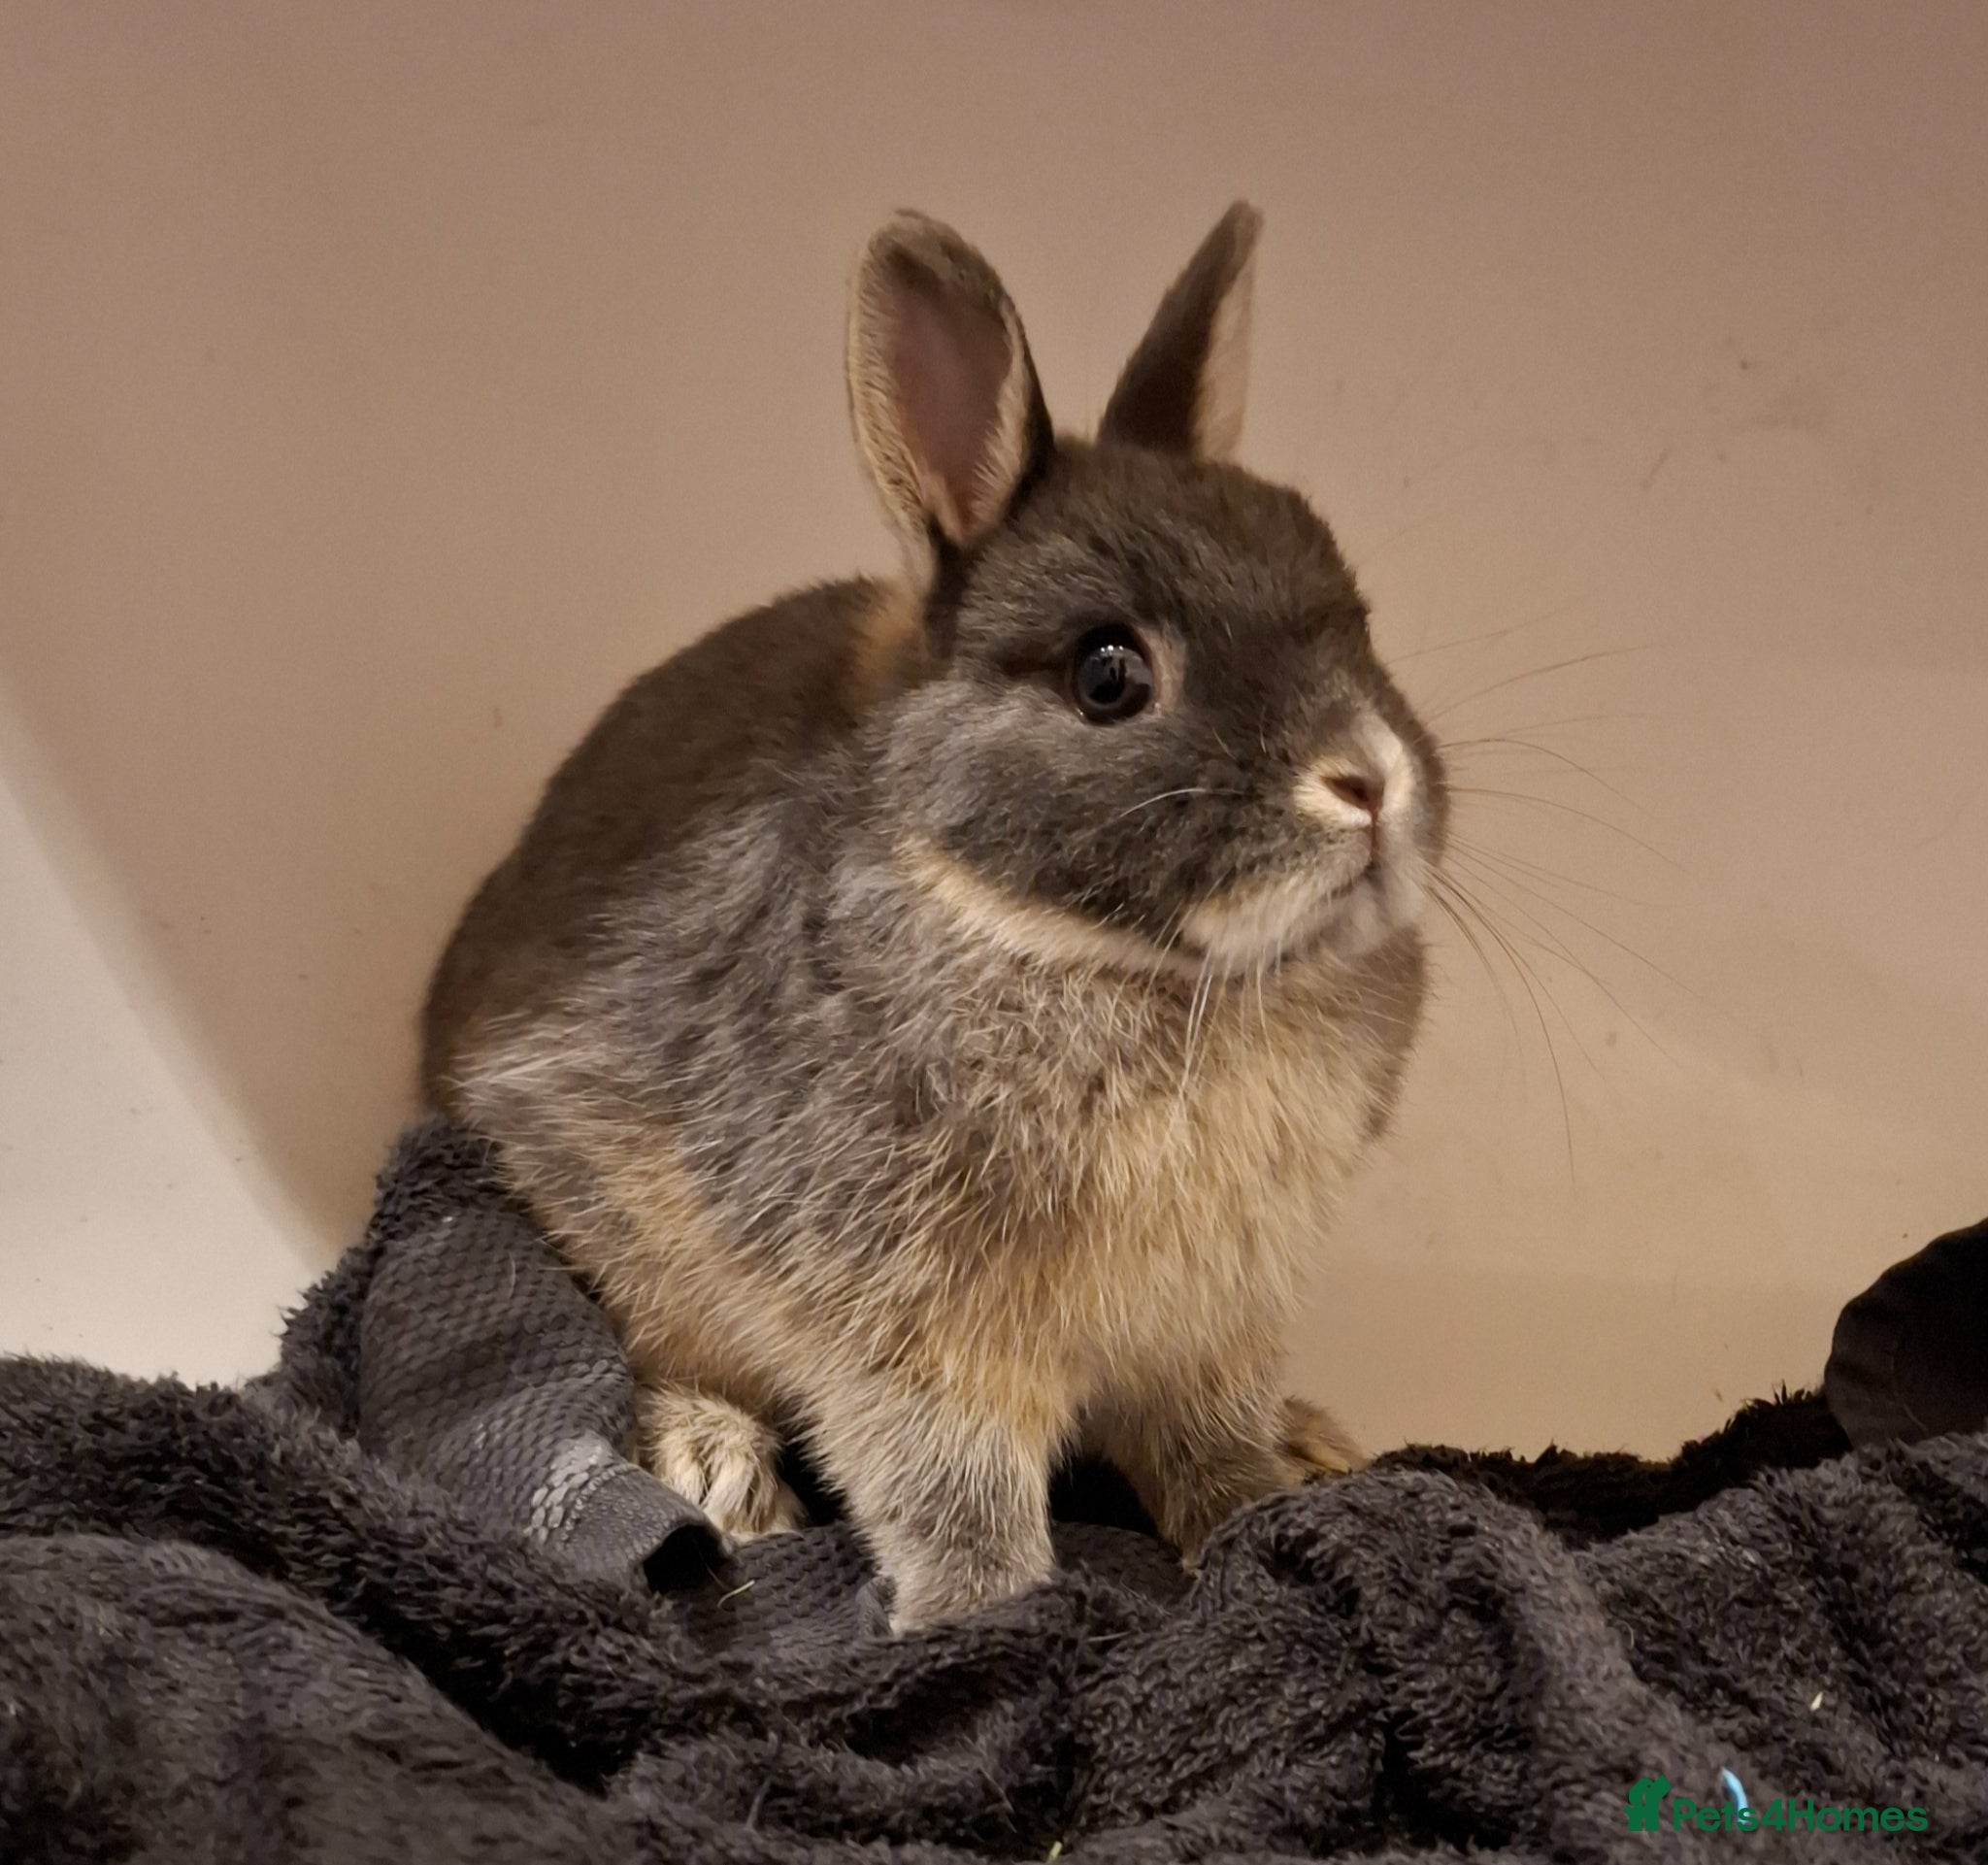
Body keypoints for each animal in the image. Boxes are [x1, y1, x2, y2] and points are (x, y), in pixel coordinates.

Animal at [422, 201, 1448, 1631]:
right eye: (1107, 674)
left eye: (1354, 612)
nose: (1366, 782)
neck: (1099, 957)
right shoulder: (900, 1322)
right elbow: (947, 1477)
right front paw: (986, 1614)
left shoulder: (1213, 1324)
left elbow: (1208, 1441)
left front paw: (1263, 1506)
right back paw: (718, 1469)